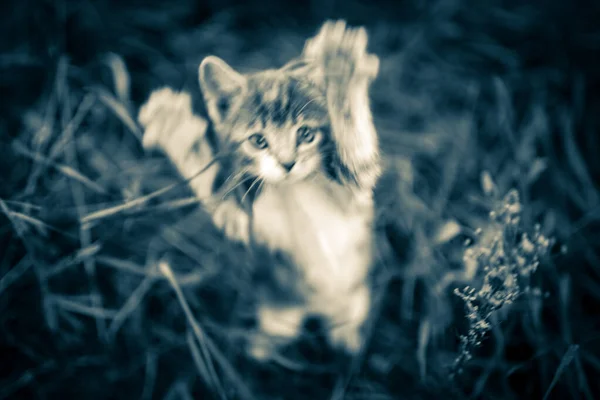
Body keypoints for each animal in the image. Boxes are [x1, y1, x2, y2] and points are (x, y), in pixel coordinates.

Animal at [138, 20, 380, 360]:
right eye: (258, 140)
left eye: (306, 134)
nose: (287, 163)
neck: (291, 191)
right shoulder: (248, 219)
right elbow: (217, 195)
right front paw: (172, 125)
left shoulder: (352, 191)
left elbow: (356, 156)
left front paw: (341, 71)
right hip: (280, 306)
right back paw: (262, 347)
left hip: (355, 293)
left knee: (350, 313)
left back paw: (347, 336)